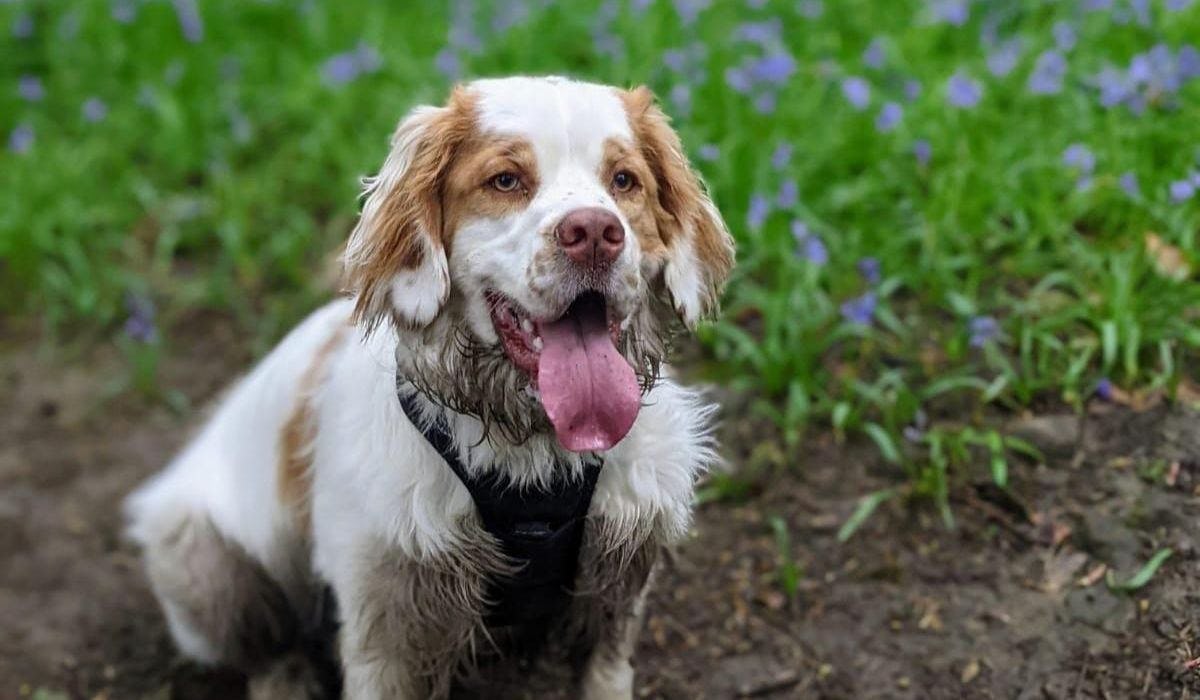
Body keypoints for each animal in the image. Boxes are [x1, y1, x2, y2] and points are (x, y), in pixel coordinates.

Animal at [126, 76, 734, 700]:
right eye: (505, 180)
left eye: (624, 180)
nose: (593, 232)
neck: (530, 444)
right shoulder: (385, 614)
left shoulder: (621, 571)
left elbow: (605, 668)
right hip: (197, 556)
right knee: (268, 651)